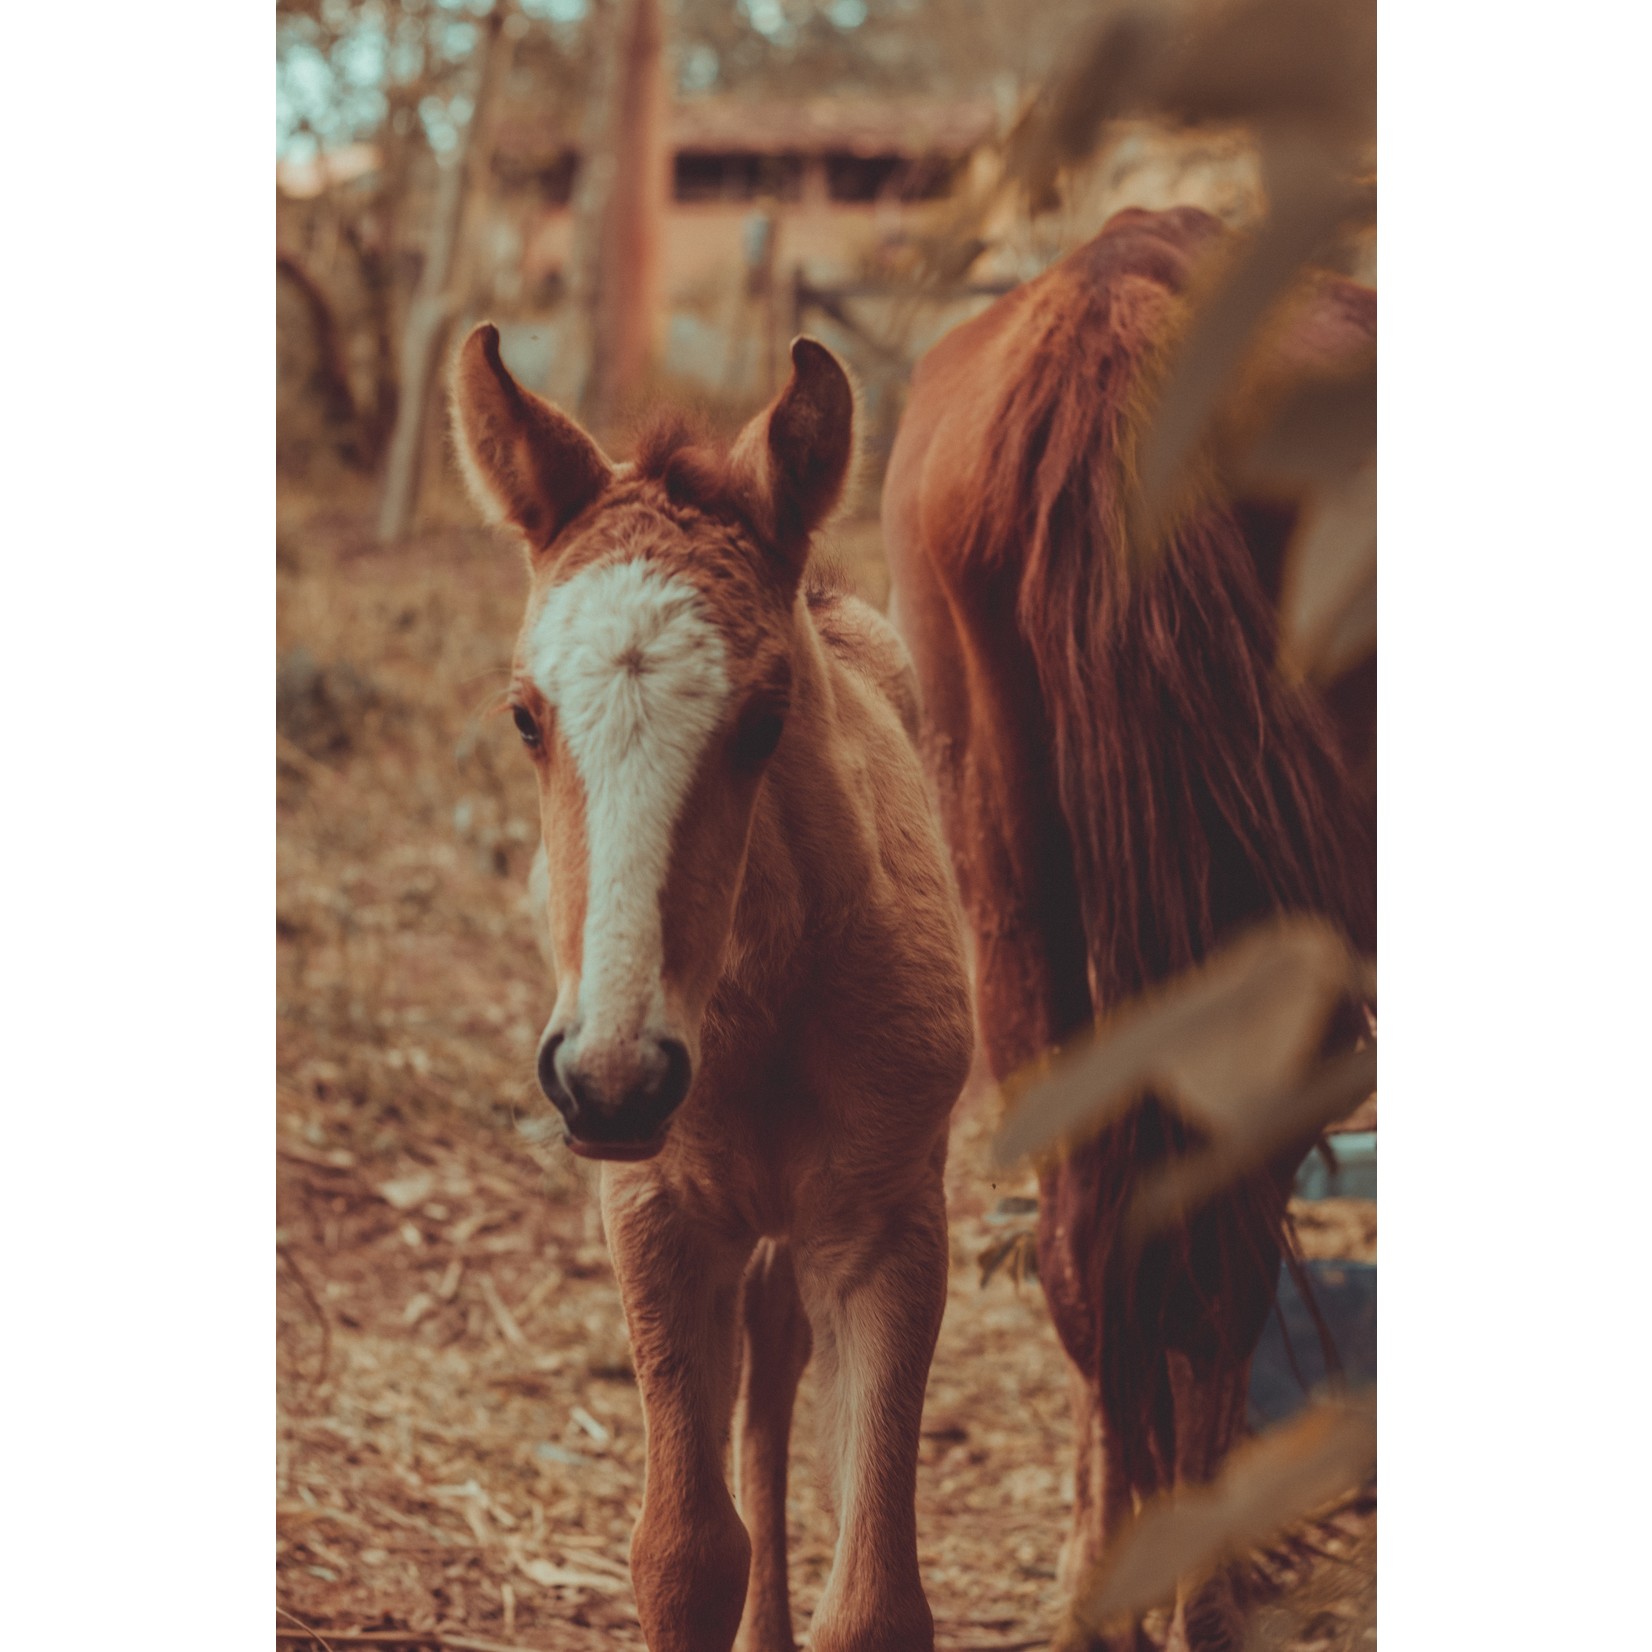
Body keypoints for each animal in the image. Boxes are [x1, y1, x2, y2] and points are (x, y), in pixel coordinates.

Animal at [446, 328, 971, 1652]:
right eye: (524, 716)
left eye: (764, 718)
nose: (613, 1079)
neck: (758, 1012)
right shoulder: (656, 1215)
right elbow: (683, 1552)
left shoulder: (889, 1226)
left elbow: (875, 1595)